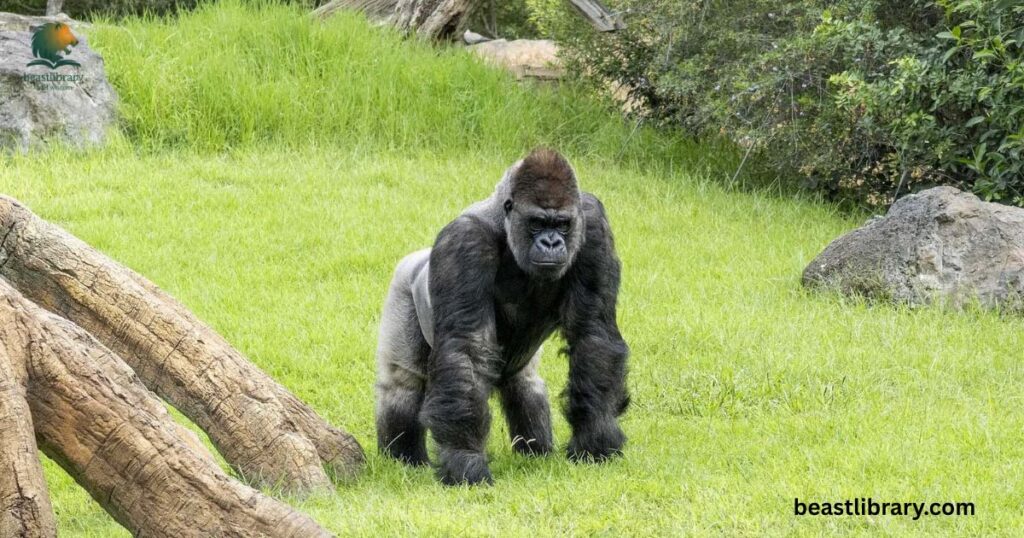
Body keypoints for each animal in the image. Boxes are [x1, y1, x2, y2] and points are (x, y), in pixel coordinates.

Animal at [374, 148, 630, 485]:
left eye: (562, 224)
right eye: (537, 223)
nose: (551, 242)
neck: (505, 223)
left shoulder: (593, 223)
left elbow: (593, 332)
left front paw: (595, 436)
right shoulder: (465, 242)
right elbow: (466, 349)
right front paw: (465, 459)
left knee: (524, 382)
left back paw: (535, 452)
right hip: (403, 283)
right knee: (403, 381)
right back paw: (403, 460)